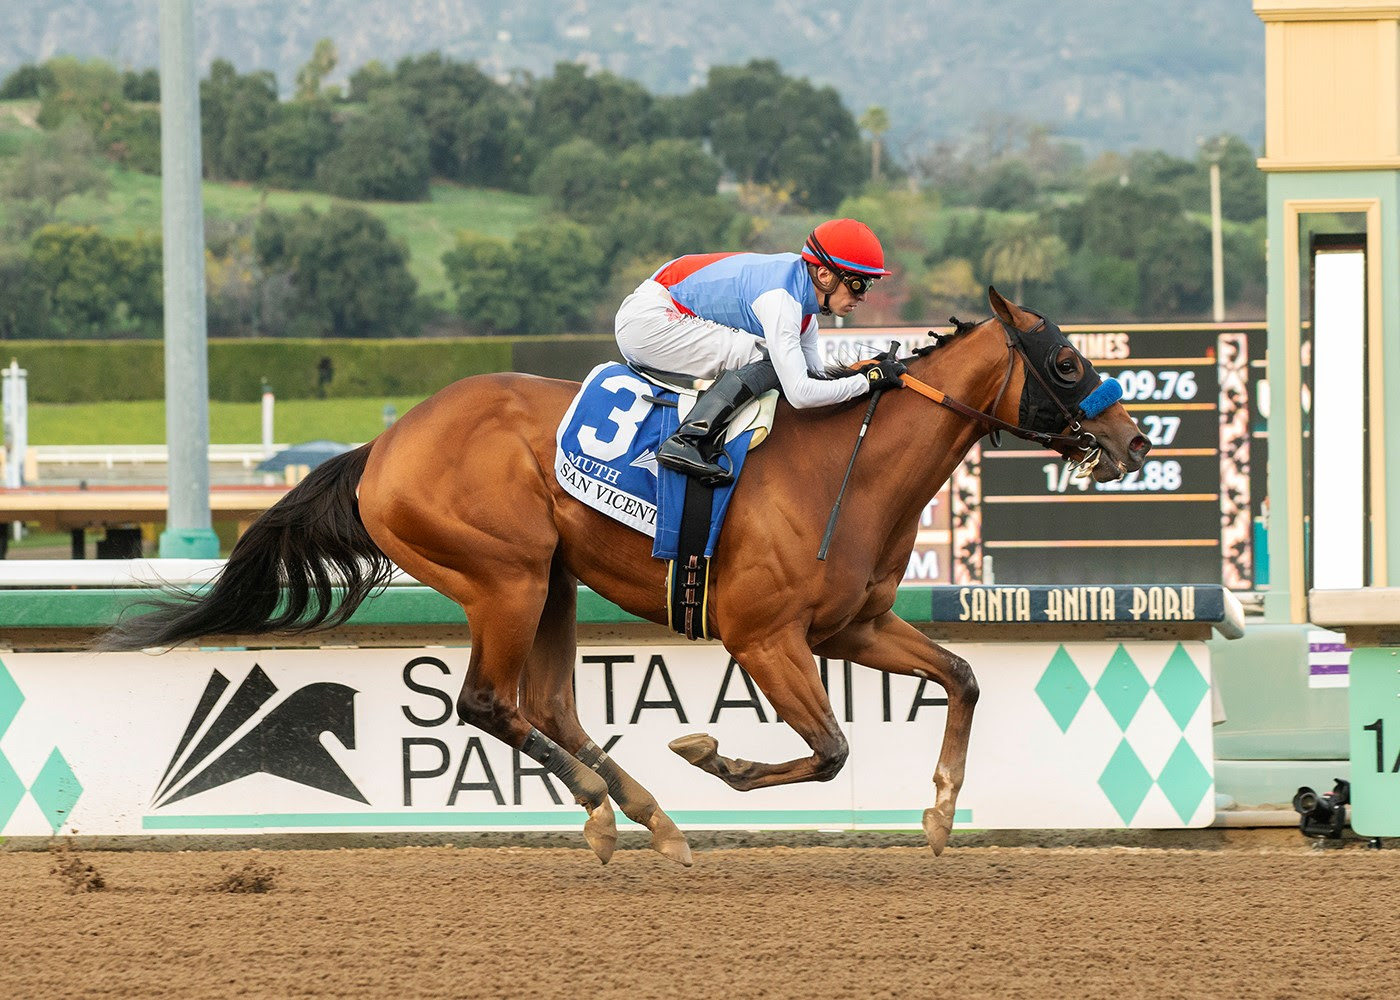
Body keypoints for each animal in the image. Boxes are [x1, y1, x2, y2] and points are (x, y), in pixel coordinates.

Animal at [100, 288, 1150, 867]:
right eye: (1065, 361)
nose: (1134, 442)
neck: (842, 467)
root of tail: (384, 446)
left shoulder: (849, 628)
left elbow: (961, 678)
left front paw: (937, 814)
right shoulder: (762, 638)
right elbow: (830, 749)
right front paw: (714, 754)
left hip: (554, 583)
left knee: (552, 709)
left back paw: (644, 817)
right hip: (506, 577)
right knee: (487, 703)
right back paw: (616, 812)